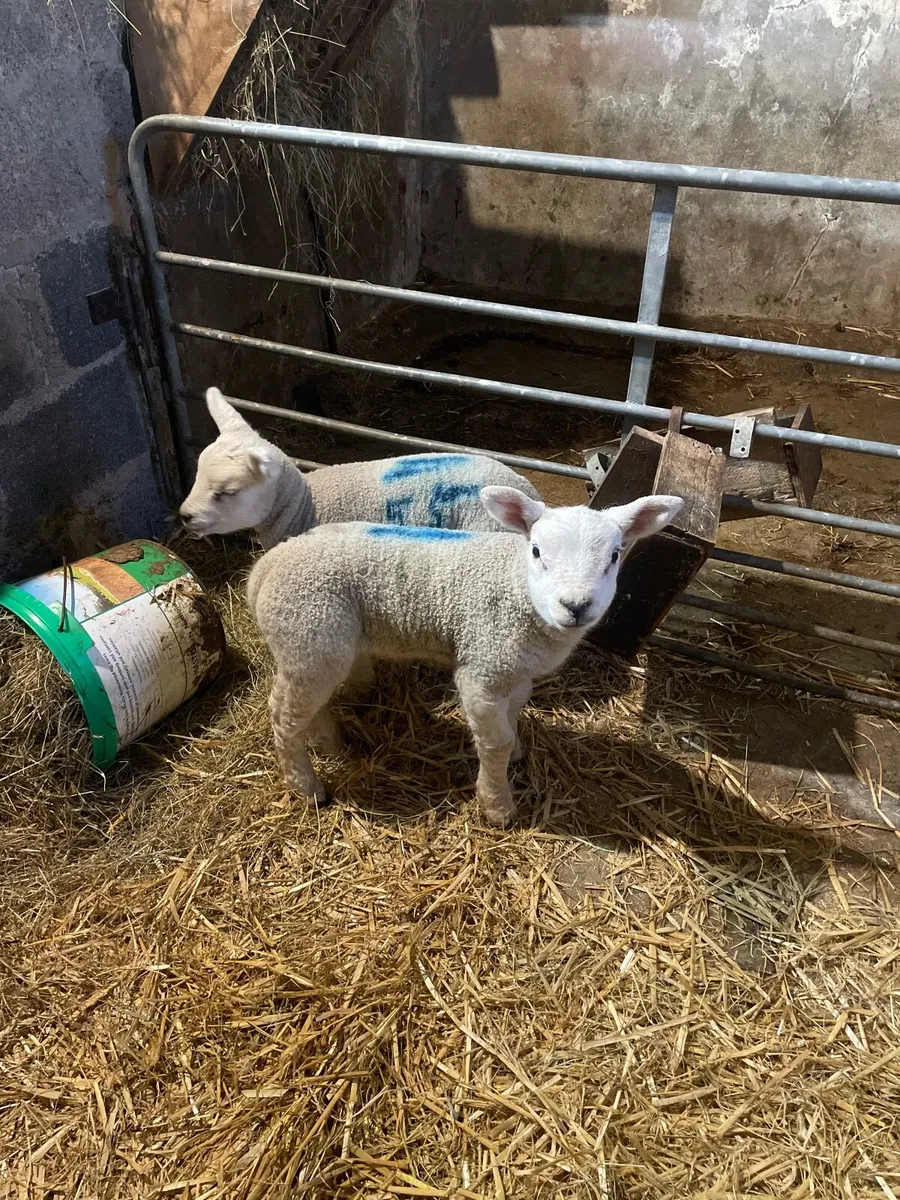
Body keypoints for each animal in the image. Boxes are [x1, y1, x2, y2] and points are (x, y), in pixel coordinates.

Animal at [248, 485, 683, 827]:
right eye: (536, 551)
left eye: (615, 555)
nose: (575, 606)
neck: (516, 588)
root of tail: (265, 567)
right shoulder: (482, 669)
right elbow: (495, 742)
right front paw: (497, 806)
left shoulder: (512, 668)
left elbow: (515, 712)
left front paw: (517, 754)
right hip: (310, 629)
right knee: (283, 716)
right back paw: (308, 788)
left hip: (308, 648)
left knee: (304, 705)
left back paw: (330, 744)